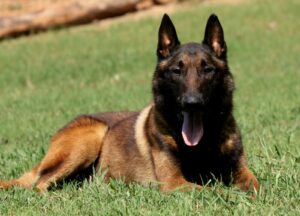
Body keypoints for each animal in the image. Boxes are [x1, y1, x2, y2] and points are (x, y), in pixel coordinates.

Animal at [0, 13, 258, 194]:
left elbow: (255, 185)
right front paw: (233, 195)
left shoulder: (241, 170)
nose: (191, 103)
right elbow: (216, 190)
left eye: (208, 70)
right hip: (92, 135)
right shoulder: (174, 182)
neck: (203, 144)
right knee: (39, 185)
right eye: (177, 71)